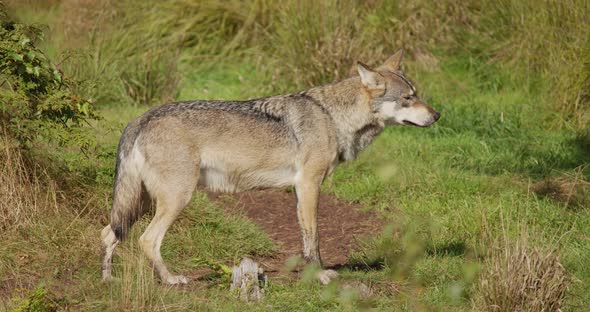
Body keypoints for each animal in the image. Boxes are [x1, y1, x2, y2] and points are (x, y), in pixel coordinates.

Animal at [102, 50, 442, 286]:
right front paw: (321, 277)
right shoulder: (309, 186)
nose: (437, 115)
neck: (332, 117)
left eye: (417, 94)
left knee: (108, 234)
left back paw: (107, 280)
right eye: (408, 98)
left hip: (142, 203)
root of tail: (140, 119)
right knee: (147, 240)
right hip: (175, 200)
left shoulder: (300, 190)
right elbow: (314, 239)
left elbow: (306, 239)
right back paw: (172, 280)